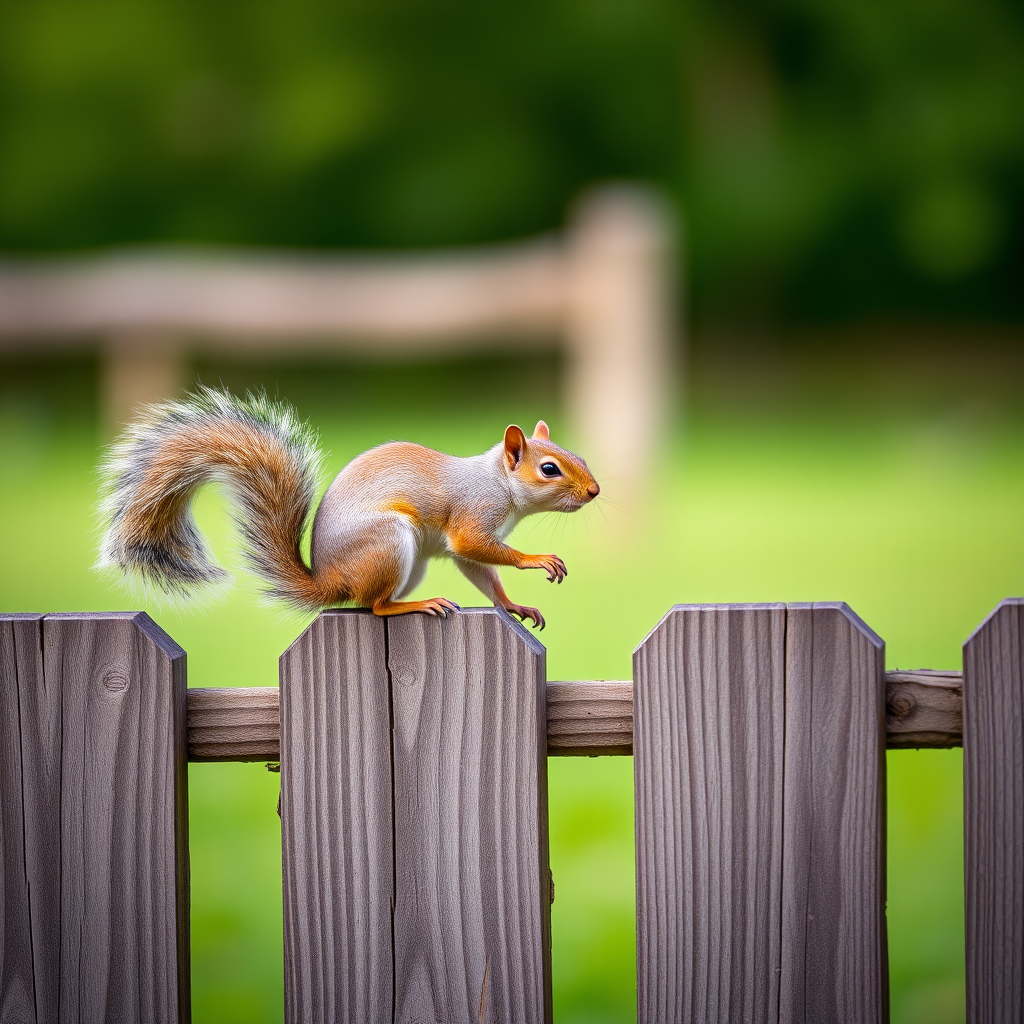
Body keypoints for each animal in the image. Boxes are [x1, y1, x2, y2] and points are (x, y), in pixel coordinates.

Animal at [98, 387, 600, 629]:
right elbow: (478, 546)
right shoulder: (472, 515)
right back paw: (417, 605)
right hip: (389, 541)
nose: (594, 491)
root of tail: (330, 579)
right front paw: (538, 559)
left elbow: (481, 572)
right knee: (374, 607)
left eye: (578, 455)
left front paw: (514, 605)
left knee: (367, 603)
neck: (497, 481)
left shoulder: (465, 546)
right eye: (550, 469)